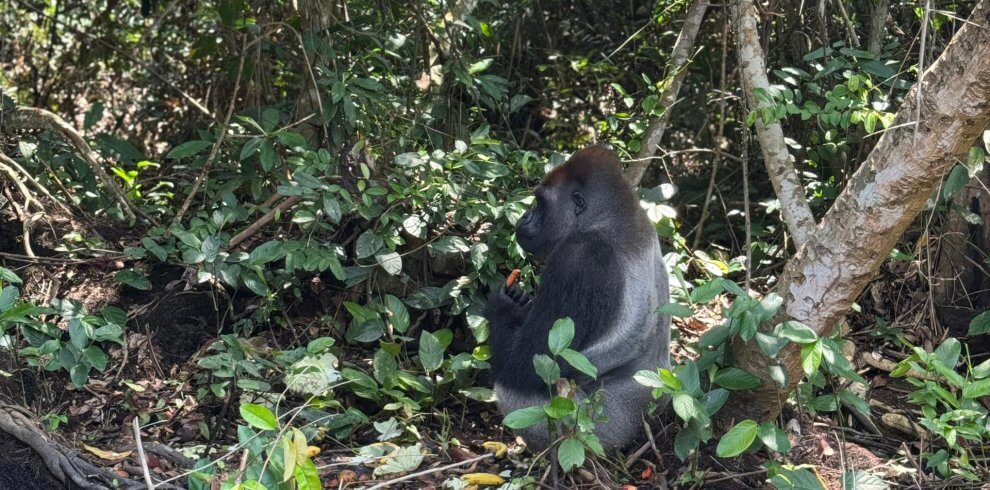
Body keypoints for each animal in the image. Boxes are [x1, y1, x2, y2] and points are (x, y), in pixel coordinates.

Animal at [485, 145, 671, 451]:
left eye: (540, 204)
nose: (523, 217)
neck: (608, 217)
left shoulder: (578, 257)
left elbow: (525, 366)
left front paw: (503, 308)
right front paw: (517, 301)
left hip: (591, 429)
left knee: (514, 391)